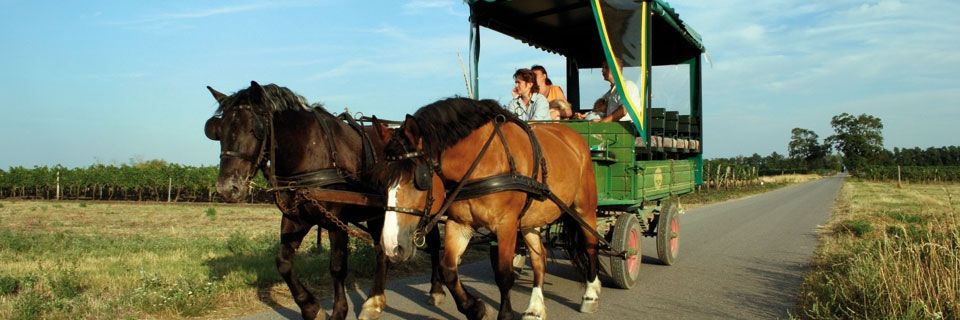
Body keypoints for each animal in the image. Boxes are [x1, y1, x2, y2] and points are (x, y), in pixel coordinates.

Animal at [204, 82, 444, 320]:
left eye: (254, 129)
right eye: (218, 131)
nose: (226, 188)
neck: (311, 151)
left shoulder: (337, 221)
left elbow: (337, 267)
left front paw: (338, 312)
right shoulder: (296, 219)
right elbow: (283, 262)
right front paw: (311, 308)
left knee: (431, 243)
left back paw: (435, 289)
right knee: (382, 251)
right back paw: (374, 302)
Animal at [374, 97, 600, 320]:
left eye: (418, 180)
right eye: (383, 180)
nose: (392, 246)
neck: (483, 161)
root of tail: (572, 135)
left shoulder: (506, 225)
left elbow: (504, 274)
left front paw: (504, 314)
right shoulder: (460, 223)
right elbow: (448, 270)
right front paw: (475, 309)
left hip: (584, 208)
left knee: (590, 244)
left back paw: (591, 293)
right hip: (531, 220)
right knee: (539, 259)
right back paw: (535, 308)